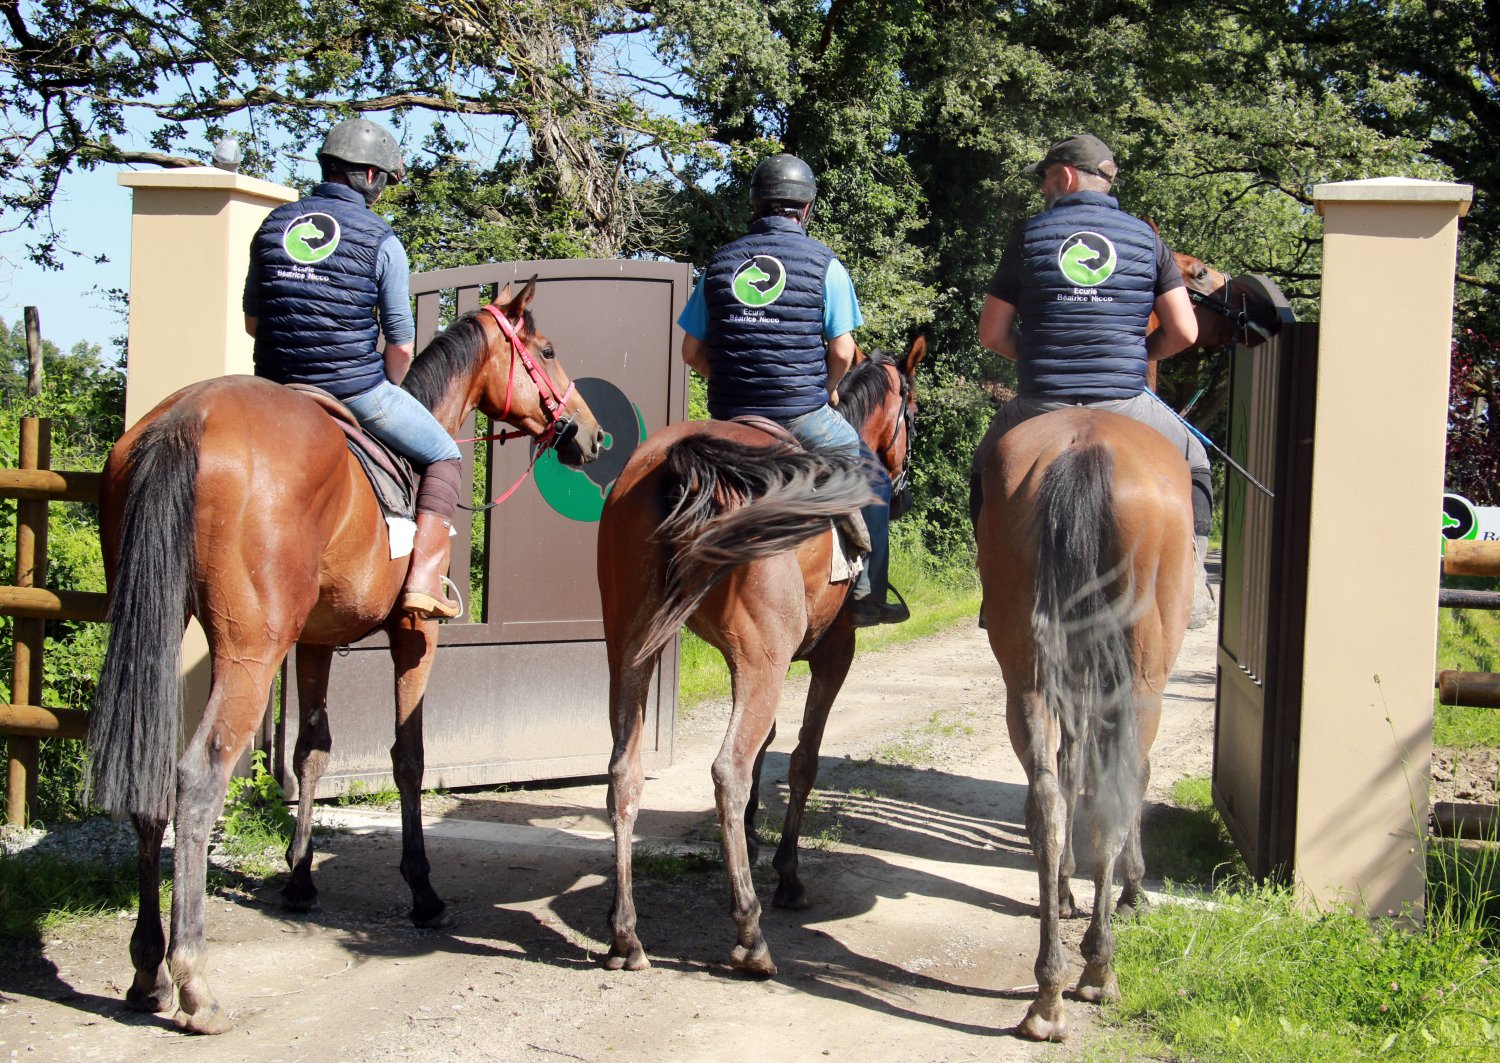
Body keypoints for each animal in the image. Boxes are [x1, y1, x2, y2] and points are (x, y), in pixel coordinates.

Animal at [87, 279, 603, 1034]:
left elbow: (312, 752)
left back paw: (146, 967)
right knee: (197, 777)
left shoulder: (314, 641)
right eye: (547, 348)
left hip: (161, 626)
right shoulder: (415, 635)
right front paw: (422, 890)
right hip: (249, 650)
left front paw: (300, 877)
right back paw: (194, 980)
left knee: (153, 775)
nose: (591, 435)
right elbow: (409, 757)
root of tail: (184, 418)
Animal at [598, 337, 925, 975]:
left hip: (629, 648)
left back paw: (626, 934)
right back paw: (750, 933)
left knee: (625, 771)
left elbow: (768, 747)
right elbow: (800, 761)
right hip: (763, 660)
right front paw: (787, 874)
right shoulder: (832, 654)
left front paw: (750, 839)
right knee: (729, 769)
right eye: (913, 412)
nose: (899, 491)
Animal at [976, 404, 1194, 1042]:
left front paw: (1068, 889)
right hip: (1142, 683)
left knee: (1048, 801)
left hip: (1026, 675)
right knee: (1117, 794)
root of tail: (1085, 448)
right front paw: (1134, 888)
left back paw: (1048, 994)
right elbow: (1126, 783)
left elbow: (1072, 773)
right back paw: (1098, 967)